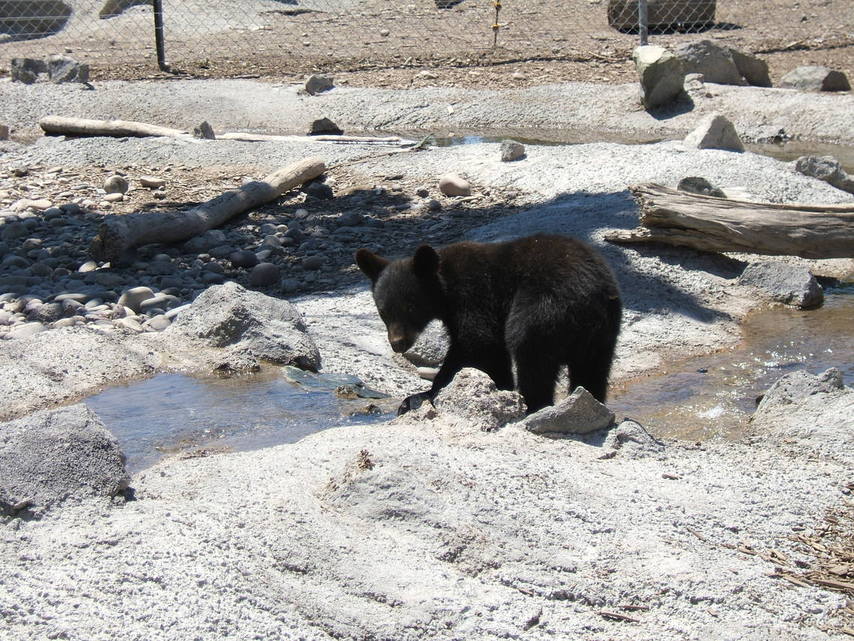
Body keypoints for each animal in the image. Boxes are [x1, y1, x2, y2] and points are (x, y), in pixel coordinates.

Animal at [354, 235, 620, 416]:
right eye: (383, 311)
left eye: (410, 307)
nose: (398, 343)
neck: (443, 286)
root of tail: (591, 292)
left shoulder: (474, 294)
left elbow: (478, 342)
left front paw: (423, 395)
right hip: (602, 333)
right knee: (592, 369)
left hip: (544, 306)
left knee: (530, 352)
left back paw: (532, 404)